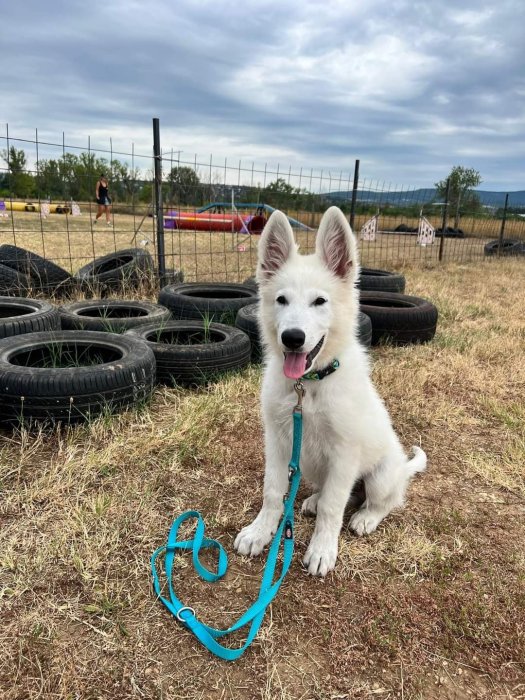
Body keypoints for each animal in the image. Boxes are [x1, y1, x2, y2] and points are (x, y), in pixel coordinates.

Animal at [234, 206, 426, 576]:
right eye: (281, 300)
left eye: (319, 301)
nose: (292, 338)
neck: (308, 385)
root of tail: (402, 468)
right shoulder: (278, 442)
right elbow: (272, 491)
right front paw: (260, 531)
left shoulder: (344, 452)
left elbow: (334, 508)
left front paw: (322, 549)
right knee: (339, 493)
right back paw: (312, 499)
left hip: (380, 476)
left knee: (379, 501)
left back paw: (366, 517)